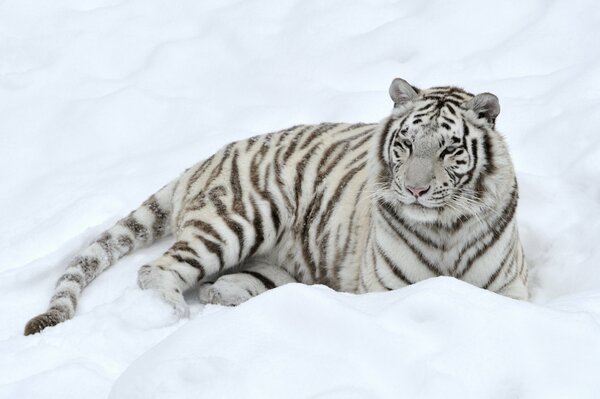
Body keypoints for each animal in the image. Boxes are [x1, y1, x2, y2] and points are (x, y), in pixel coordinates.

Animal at [25, 77, 528, 334]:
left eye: (448, 149)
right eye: (405, 145)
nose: (415, 191)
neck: (445, 228)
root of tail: (200, 163)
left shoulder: (509, 289)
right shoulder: (384, 290)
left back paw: (223, 294)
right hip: (239, 218)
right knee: (156, 269)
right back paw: (172, 314)